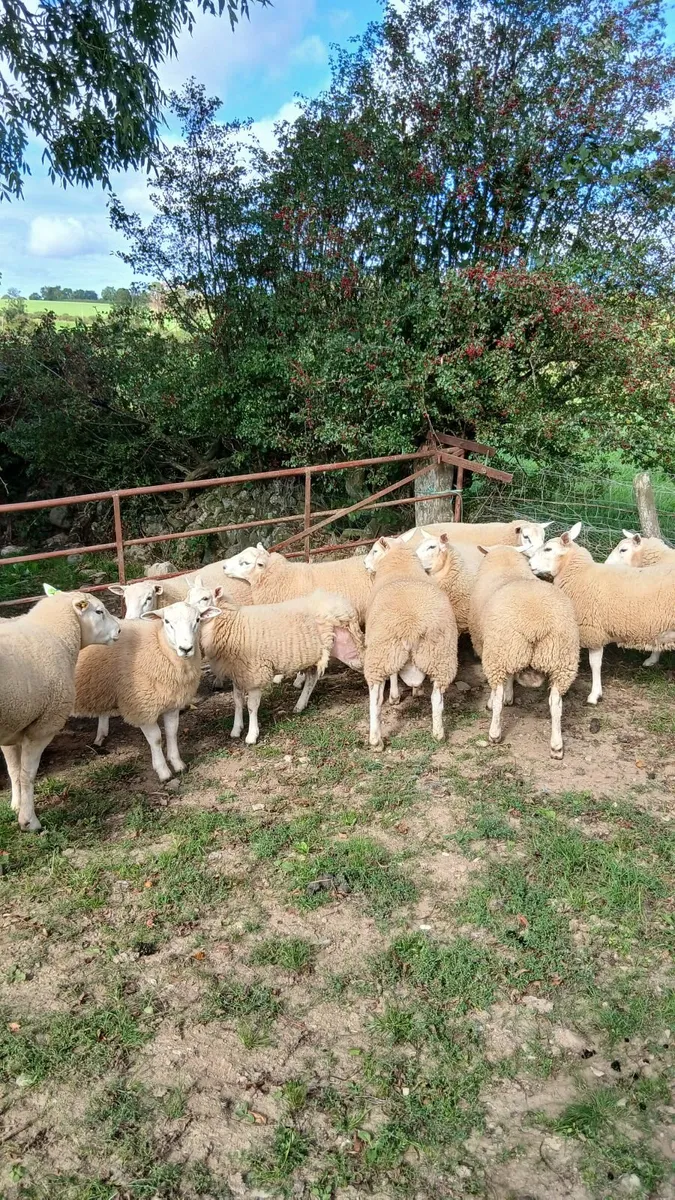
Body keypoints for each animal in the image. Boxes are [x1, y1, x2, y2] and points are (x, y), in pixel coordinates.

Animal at [1, 588, 120, 832]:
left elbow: (14, 771)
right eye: (99, 611)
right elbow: (27, 775)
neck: (56, 634)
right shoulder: (43, 726)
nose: (119, 629)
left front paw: (16, 805)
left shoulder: (13, 726)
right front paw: (29, 821)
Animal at [73, 601, 220, 782]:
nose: (186, 648)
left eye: (198, 619)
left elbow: (172, 732)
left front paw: (178, 764)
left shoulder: (172, 702)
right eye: (167, 621)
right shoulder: (142, 707)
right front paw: (163, 771)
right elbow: (156, 739)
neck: (160, 646)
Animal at [200, 590, 364, 745]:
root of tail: (342, 603)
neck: (234, 624)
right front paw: (236, 729)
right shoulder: (238, 673)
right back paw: (300, 705)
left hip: (349, 647)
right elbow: (238, 701)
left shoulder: (256, 673)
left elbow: (252, 706)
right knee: (312, 678)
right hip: (315, 653)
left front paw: (252, 735)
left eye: (205, 598)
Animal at [362, 538, 458, 748]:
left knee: (375, 699)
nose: (364, 564)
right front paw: (416, 689)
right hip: (441, 655)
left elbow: (394, 675)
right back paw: (438, 733)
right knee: (437, 698)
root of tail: (412, 626)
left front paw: (395, 696)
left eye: (374, 551)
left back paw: (375, 740)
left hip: (380, 654)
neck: (401, 565)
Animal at [468, 545, 579, 758]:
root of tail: (536, 624)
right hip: (562, 660)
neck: (506, 564)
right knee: (556, 703)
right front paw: (510, 696)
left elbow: (500, 689)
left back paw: (494, 733)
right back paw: (556, 746)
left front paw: (500, 698)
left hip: (500, 651)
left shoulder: (485, 644)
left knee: (497, 694)